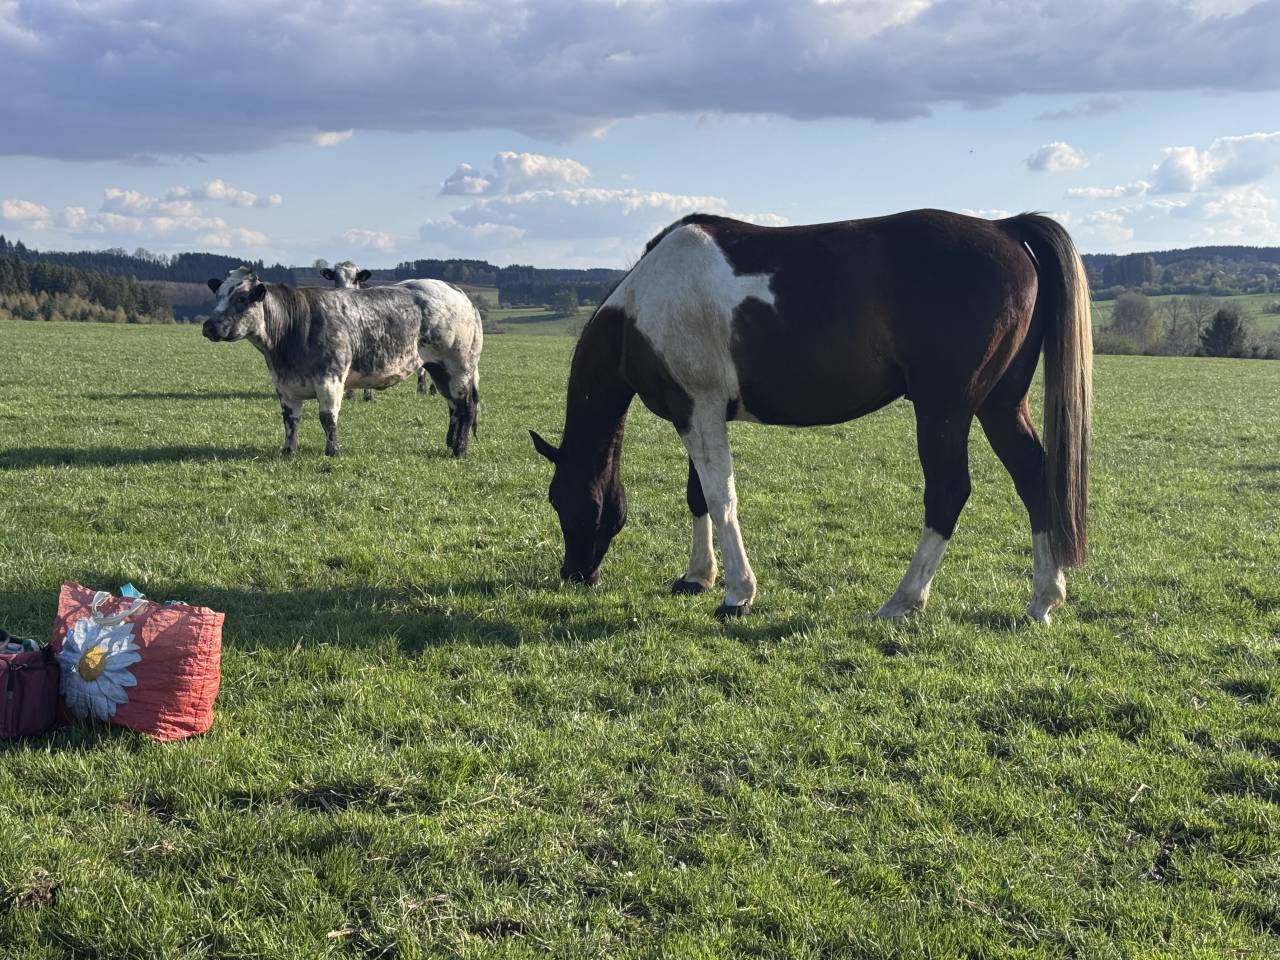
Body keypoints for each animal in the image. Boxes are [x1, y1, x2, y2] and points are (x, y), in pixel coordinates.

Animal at [531, 210, 1091, 623]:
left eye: (560, 500)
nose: (575, 575)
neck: (642, 307)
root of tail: (1004, 228)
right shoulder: (696, 411)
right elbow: (699, 497)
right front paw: (696, 577)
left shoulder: (698, 409)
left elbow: (721, 497)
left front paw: (737, 594)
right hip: (1000, 405)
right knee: (1033, 478)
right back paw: (1043, 599)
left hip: (945, 409)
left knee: (948, 493)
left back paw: (902, 601)